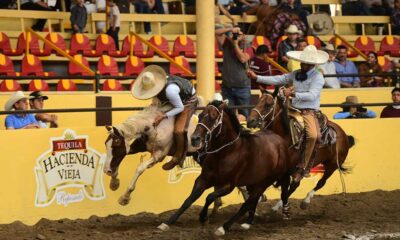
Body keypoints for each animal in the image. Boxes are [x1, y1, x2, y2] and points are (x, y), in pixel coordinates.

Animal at [158, 100, 292, 236]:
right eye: (200, 115)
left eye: (213, 117)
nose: (195, 138)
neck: (225, 153)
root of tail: (281, 141)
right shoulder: (203, 179)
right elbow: (189, 199)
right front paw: (167, 223)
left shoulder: (228, 185)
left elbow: (210, 196)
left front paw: (203, 217)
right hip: (253, 182)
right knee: (251, 201)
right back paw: (247, 223)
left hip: (265, 182)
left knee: (248, 203)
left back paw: (224, 227)